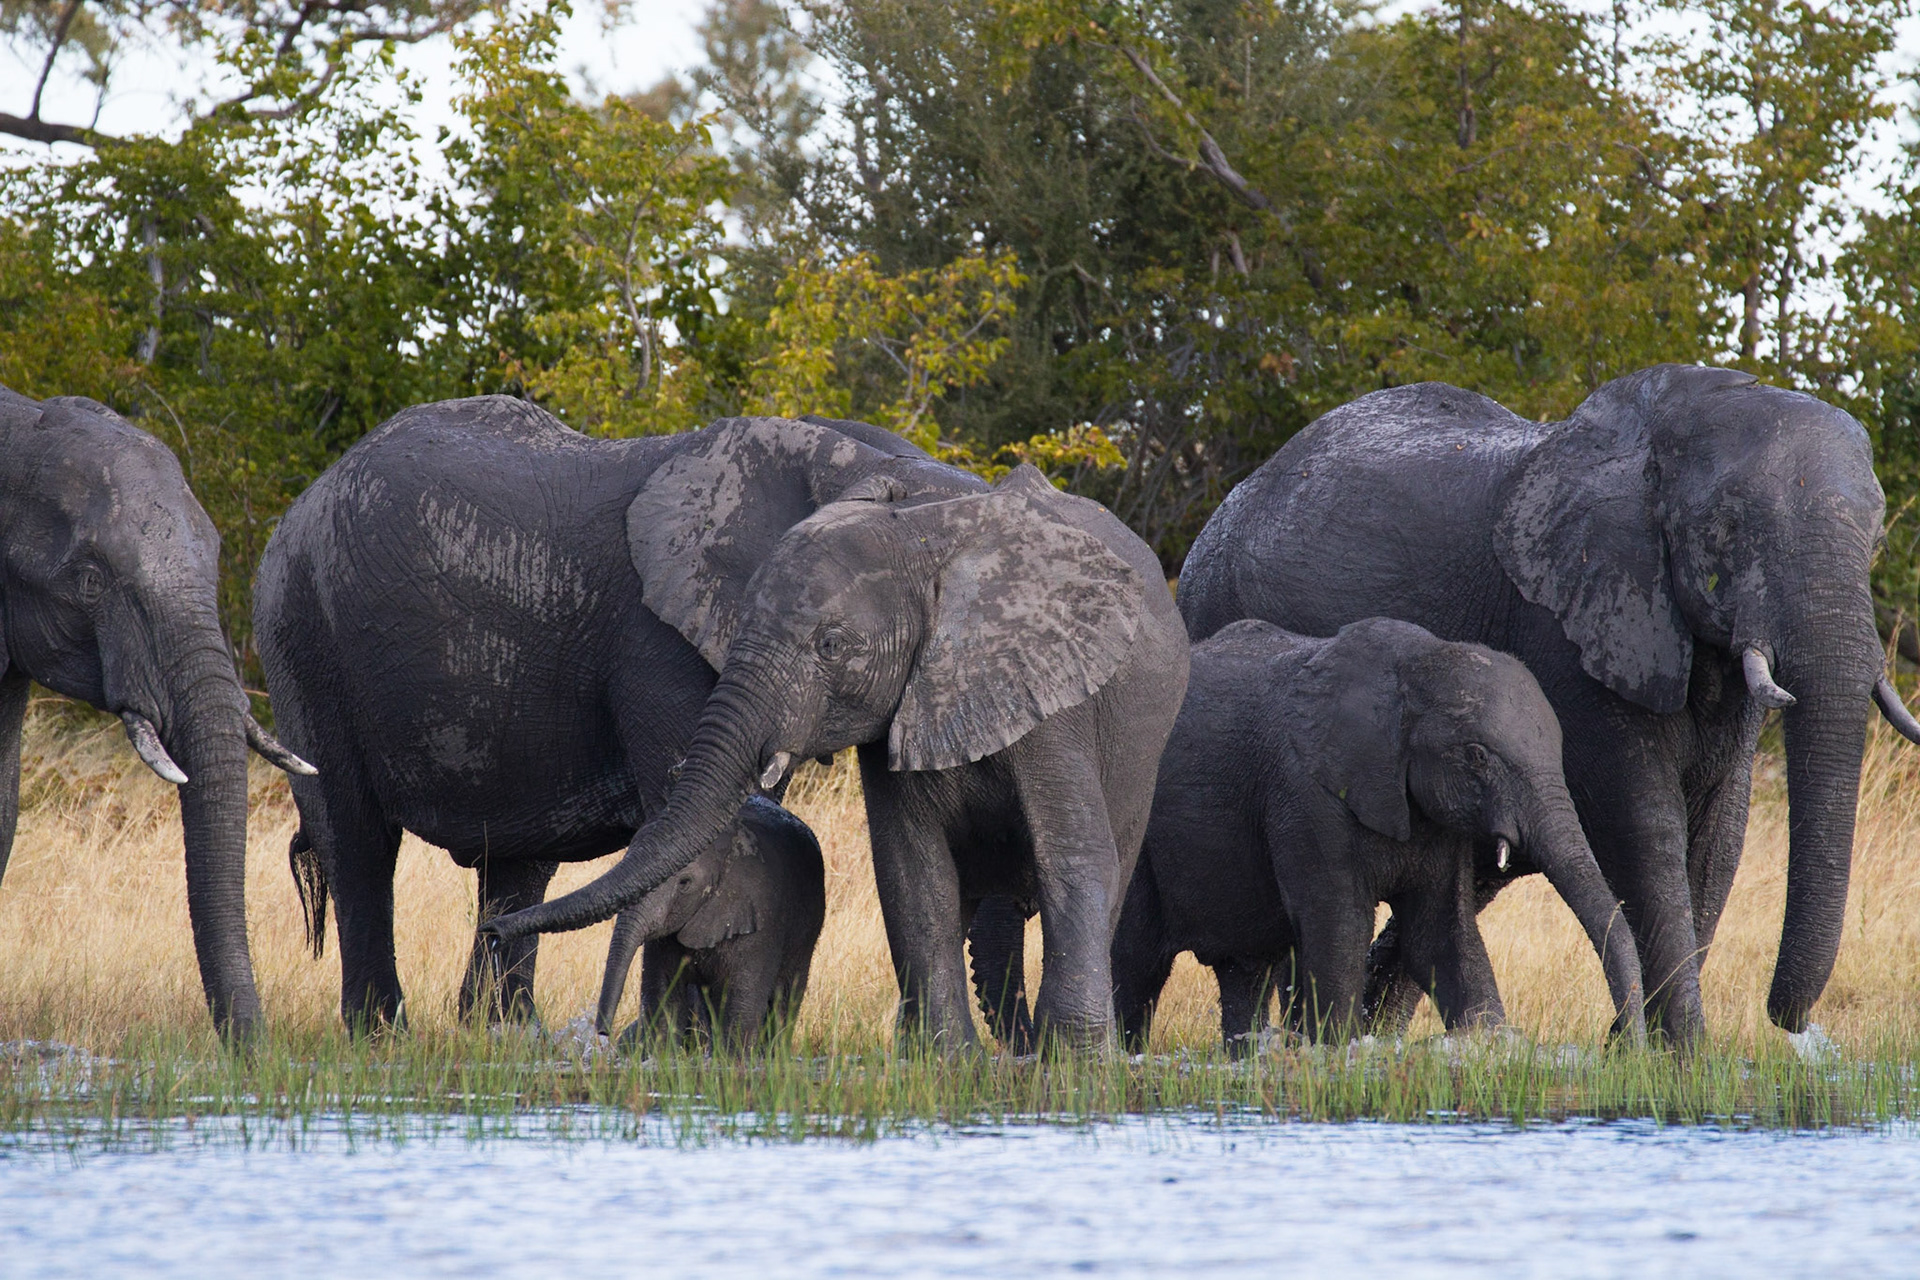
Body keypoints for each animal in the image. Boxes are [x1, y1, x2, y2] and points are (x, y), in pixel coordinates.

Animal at [594, 795, 824, 1052]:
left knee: (785, 996)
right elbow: (664, 995)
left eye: (684, 883)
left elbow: (741, 1002)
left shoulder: (761, 924)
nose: (603, 1031)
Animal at [1107, 618, 1645, 1052]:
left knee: (1246, 970)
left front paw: (1490, 1042)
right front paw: (1338, 1050)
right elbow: (1341, 927)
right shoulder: (1306, 796)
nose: (1622, 1045)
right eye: (1476, 756)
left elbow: (1440, 932)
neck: (1412, 670)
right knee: (1137, 962)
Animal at [1178, 365, 1920, 1044]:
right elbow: (1642, 823)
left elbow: (1719, 832)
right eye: (1725, 529)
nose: (1788, 1023)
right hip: (1223, 618)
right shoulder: (1569, 622)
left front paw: (1663, 1056)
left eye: (1879, 540)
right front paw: (1676, 1056)